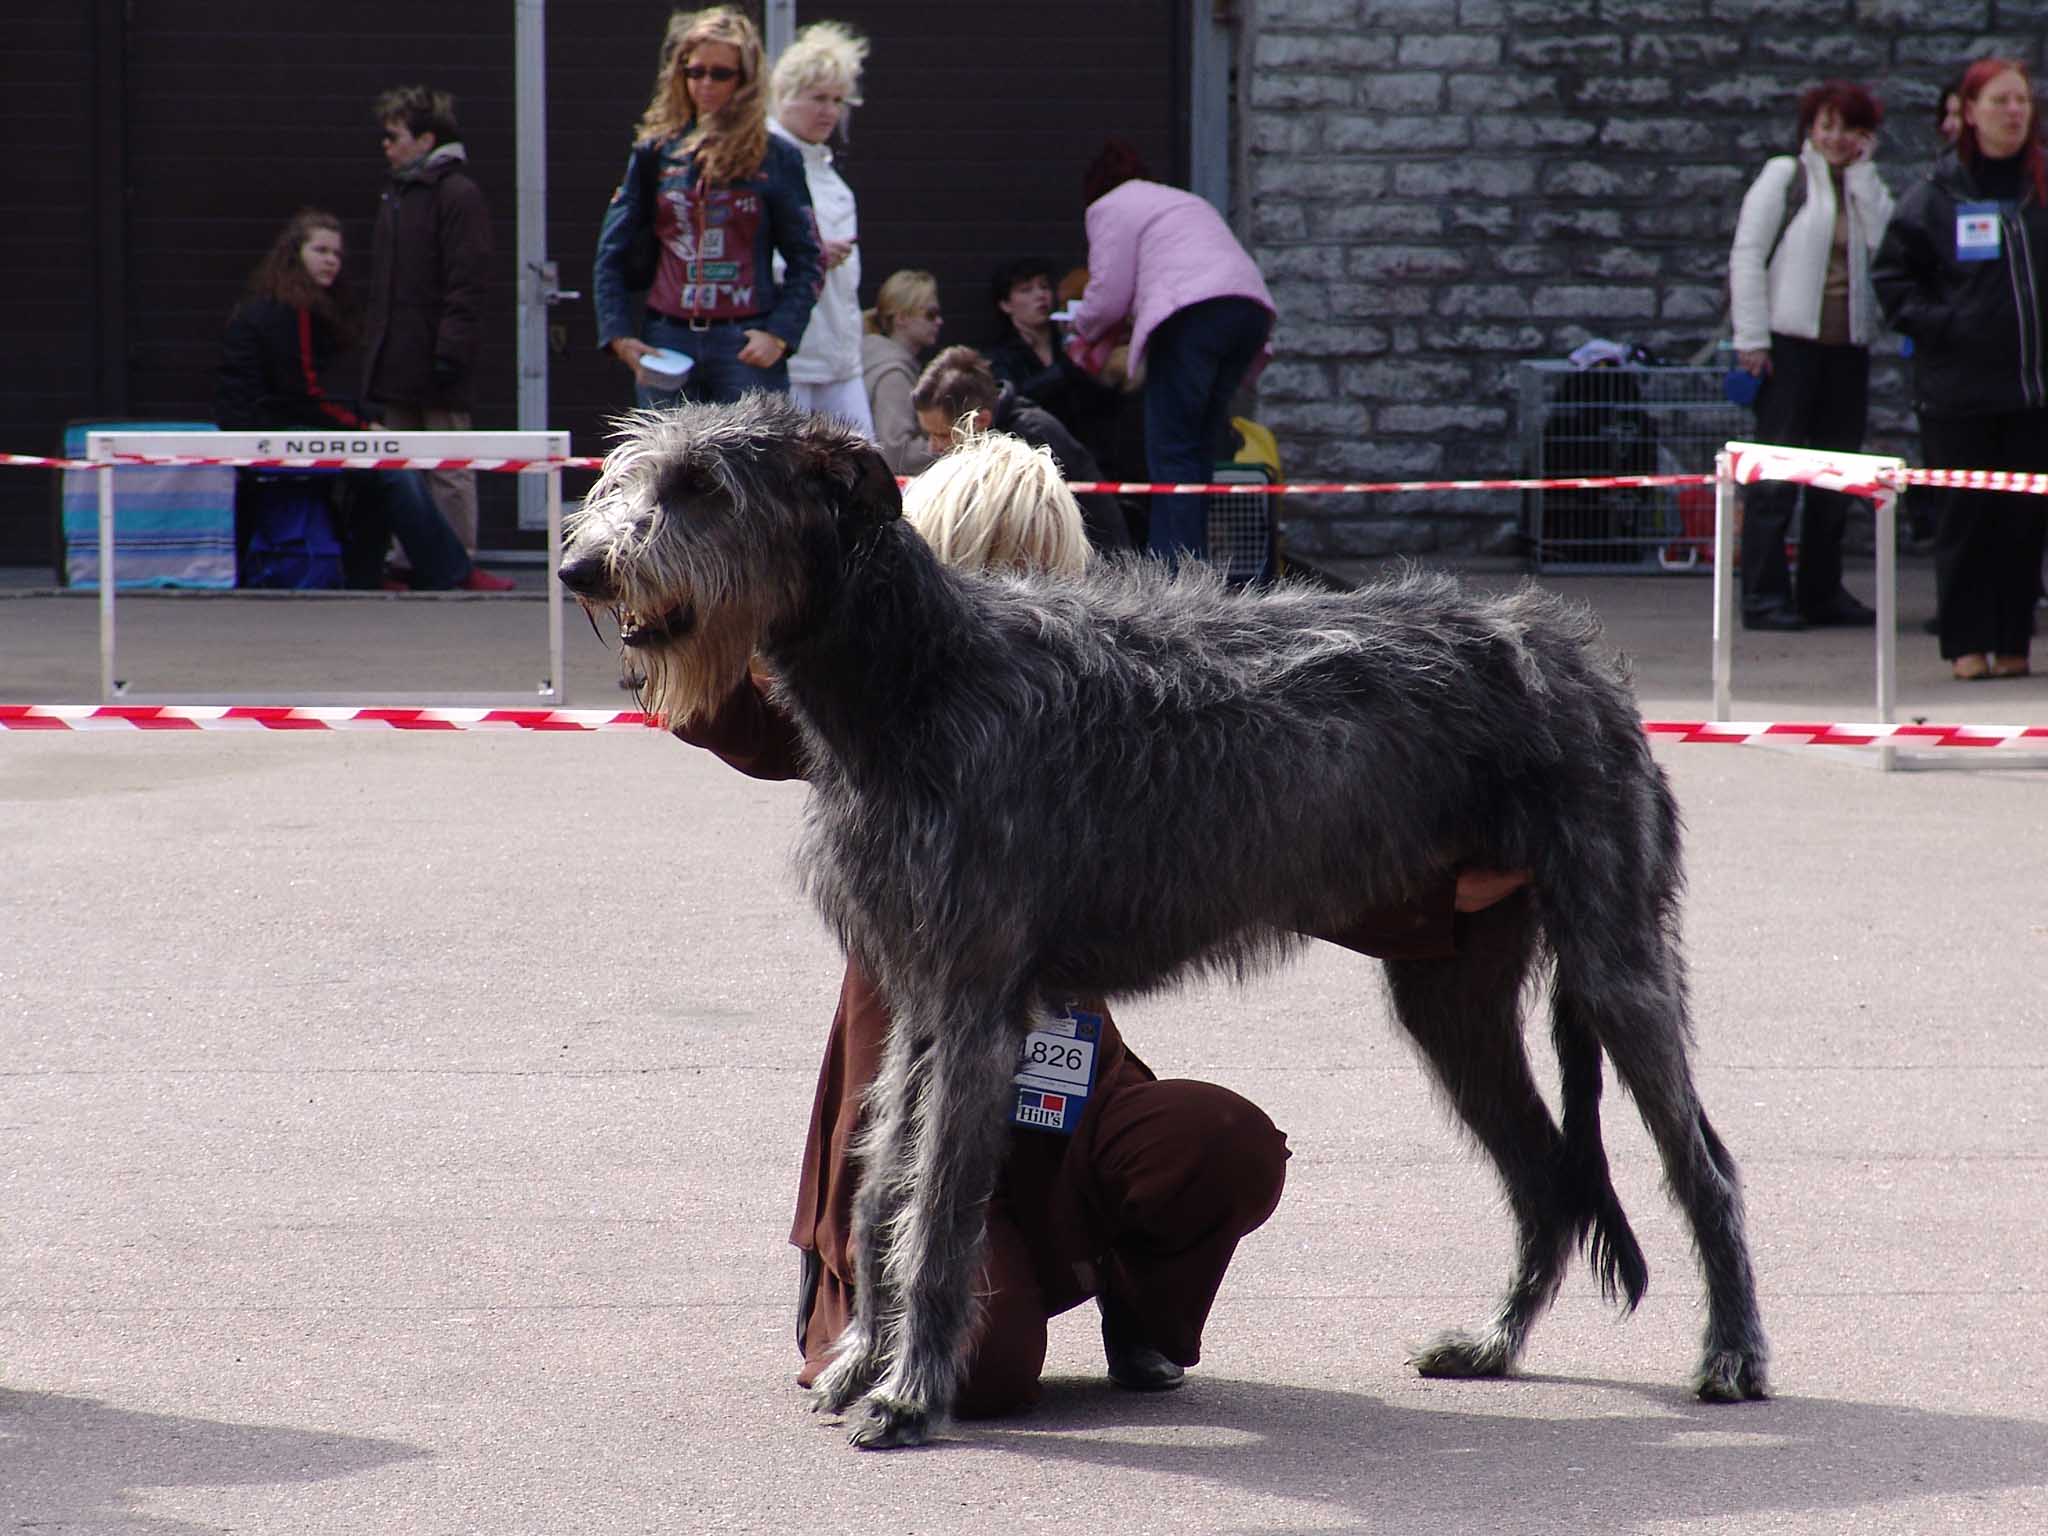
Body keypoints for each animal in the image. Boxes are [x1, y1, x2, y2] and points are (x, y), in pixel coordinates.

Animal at [552, 397, 1769, 1458]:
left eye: (703, 486)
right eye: (625, 474)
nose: (580, 568)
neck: (916, 677)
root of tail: (1576, 652)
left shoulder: (978, 996)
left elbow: (937, 1209)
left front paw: (907, 1395)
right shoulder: (915, 993)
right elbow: (882, 1183)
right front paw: (860, 1360)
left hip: (1612, 955)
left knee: (1700, 1162)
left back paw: (1731, 1356)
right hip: (1449, 998)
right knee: (1542, 1175)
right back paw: (1492, 1342)